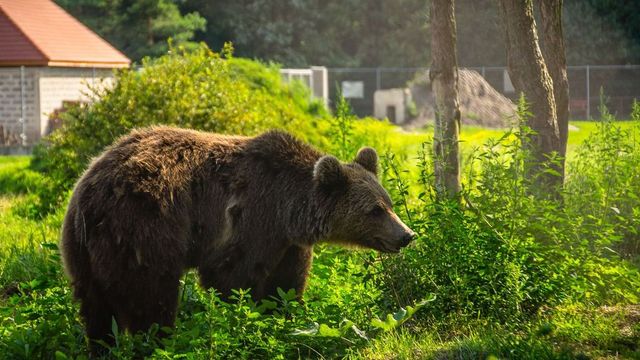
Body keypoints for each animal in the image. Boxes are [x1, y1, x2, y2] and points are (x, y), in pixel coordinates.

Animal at [61, 126, 416, 352]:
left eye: (390, 203)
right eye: (374, 210)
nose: (406, 235)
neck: (290, 211)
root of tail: (87, 193)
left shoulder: (286, 243)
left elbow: (285, 285)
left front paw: (285, 320)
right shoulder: (251, 219)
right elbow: (234, 278)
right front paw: (244, 323)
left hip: (83, 253)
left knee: (95, 309)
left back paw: (102, 346)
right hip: (143, 232)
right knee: (150, 297)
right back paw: (160, 342)